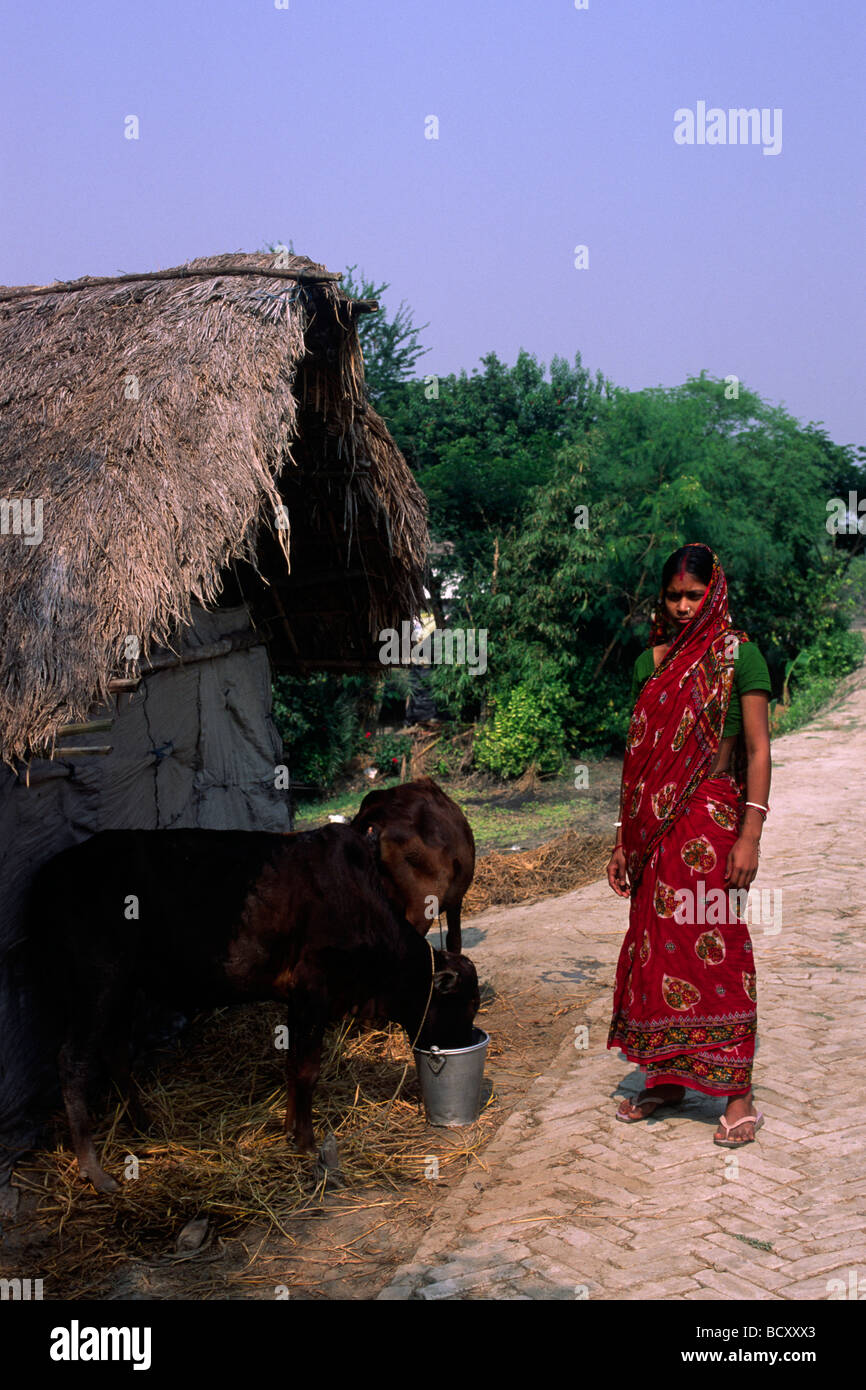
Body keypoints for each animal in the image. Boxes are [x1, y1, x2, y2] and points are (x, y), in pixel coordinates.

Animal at [32, 822, 480, 1195]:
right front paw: (305, 1143)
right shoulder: (313, 989)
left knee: (113, 1052)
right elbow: (307, 1069)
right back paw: (95, 1170)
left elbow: (293, 1067)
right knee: (72, 1061)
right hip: (99, 981)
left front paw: (289, 1130)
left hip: (122, 987)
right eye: (464, 1006)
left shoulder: (300, 1000)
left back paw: (144, 1125)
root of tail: (52, 872)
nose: (463, 1042)